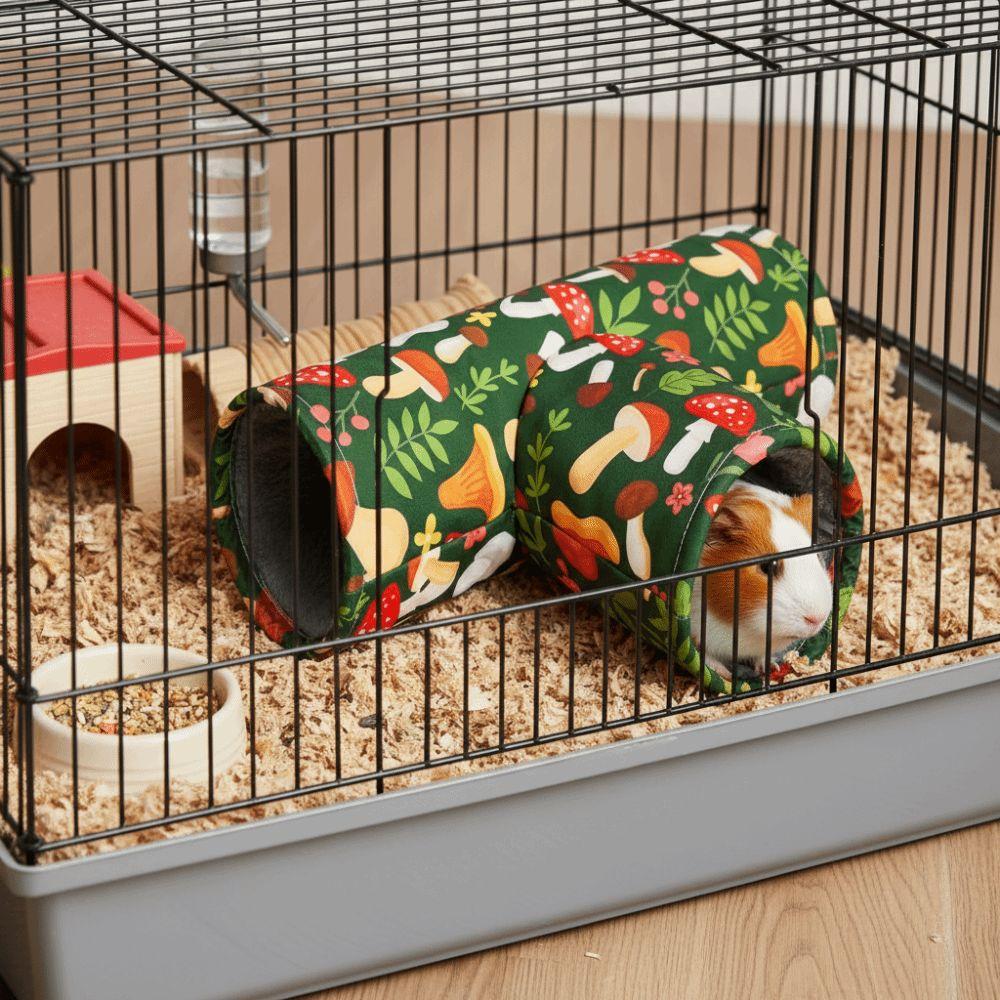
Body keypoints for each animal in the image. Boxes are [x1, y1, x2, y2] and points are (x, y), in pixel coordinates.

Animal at [689, 482, 833, 680]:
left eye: (817, 556)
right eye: (767, 567)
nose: (817, 619)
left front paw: (771, 668)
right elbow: (706, 655)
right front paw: (725, 675)